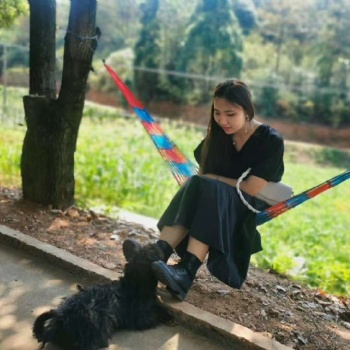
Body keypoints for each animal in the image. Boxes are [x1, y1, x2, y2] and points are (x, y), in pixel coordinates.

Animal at [32, 243, 172, 350]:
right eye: (152, 253)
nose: (160, 244)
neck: (133, 283)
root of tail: (61, 320)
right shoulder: (142, 317)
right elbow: (154, 314)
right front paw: (167, 316)